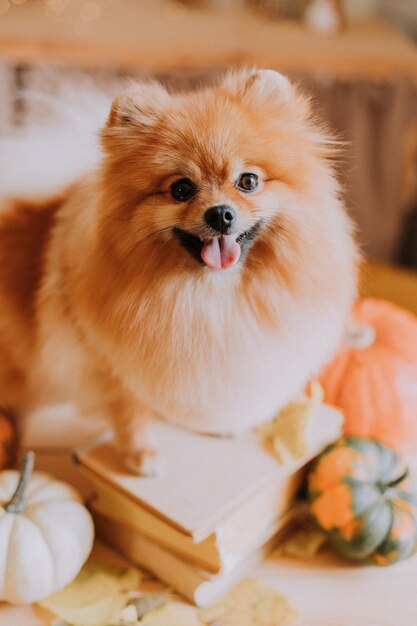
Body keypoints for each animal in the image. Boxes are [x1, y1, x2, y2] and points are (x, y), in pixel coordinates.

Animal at [0, 69, 358, 472]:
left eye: (248, 181)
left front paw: (218, 426)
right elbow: (130, 408)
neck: (209, 293)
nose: (220, 213)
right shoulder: (106, 359)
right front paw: (141, 455)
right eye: (181, 189)